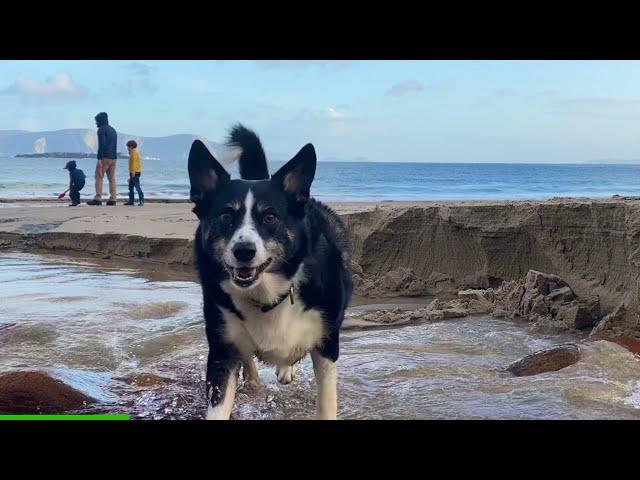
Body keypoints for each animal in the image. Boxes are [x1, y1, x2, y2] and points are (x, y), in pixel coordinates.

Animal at [188, 124, 352, 420]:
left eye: (270, 217)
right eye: (226, 216)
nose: (243, 251)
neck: (267, 294)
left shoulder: (327, 343)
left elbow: (326, 401)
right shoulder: (222, 349)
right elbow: (220, 399)